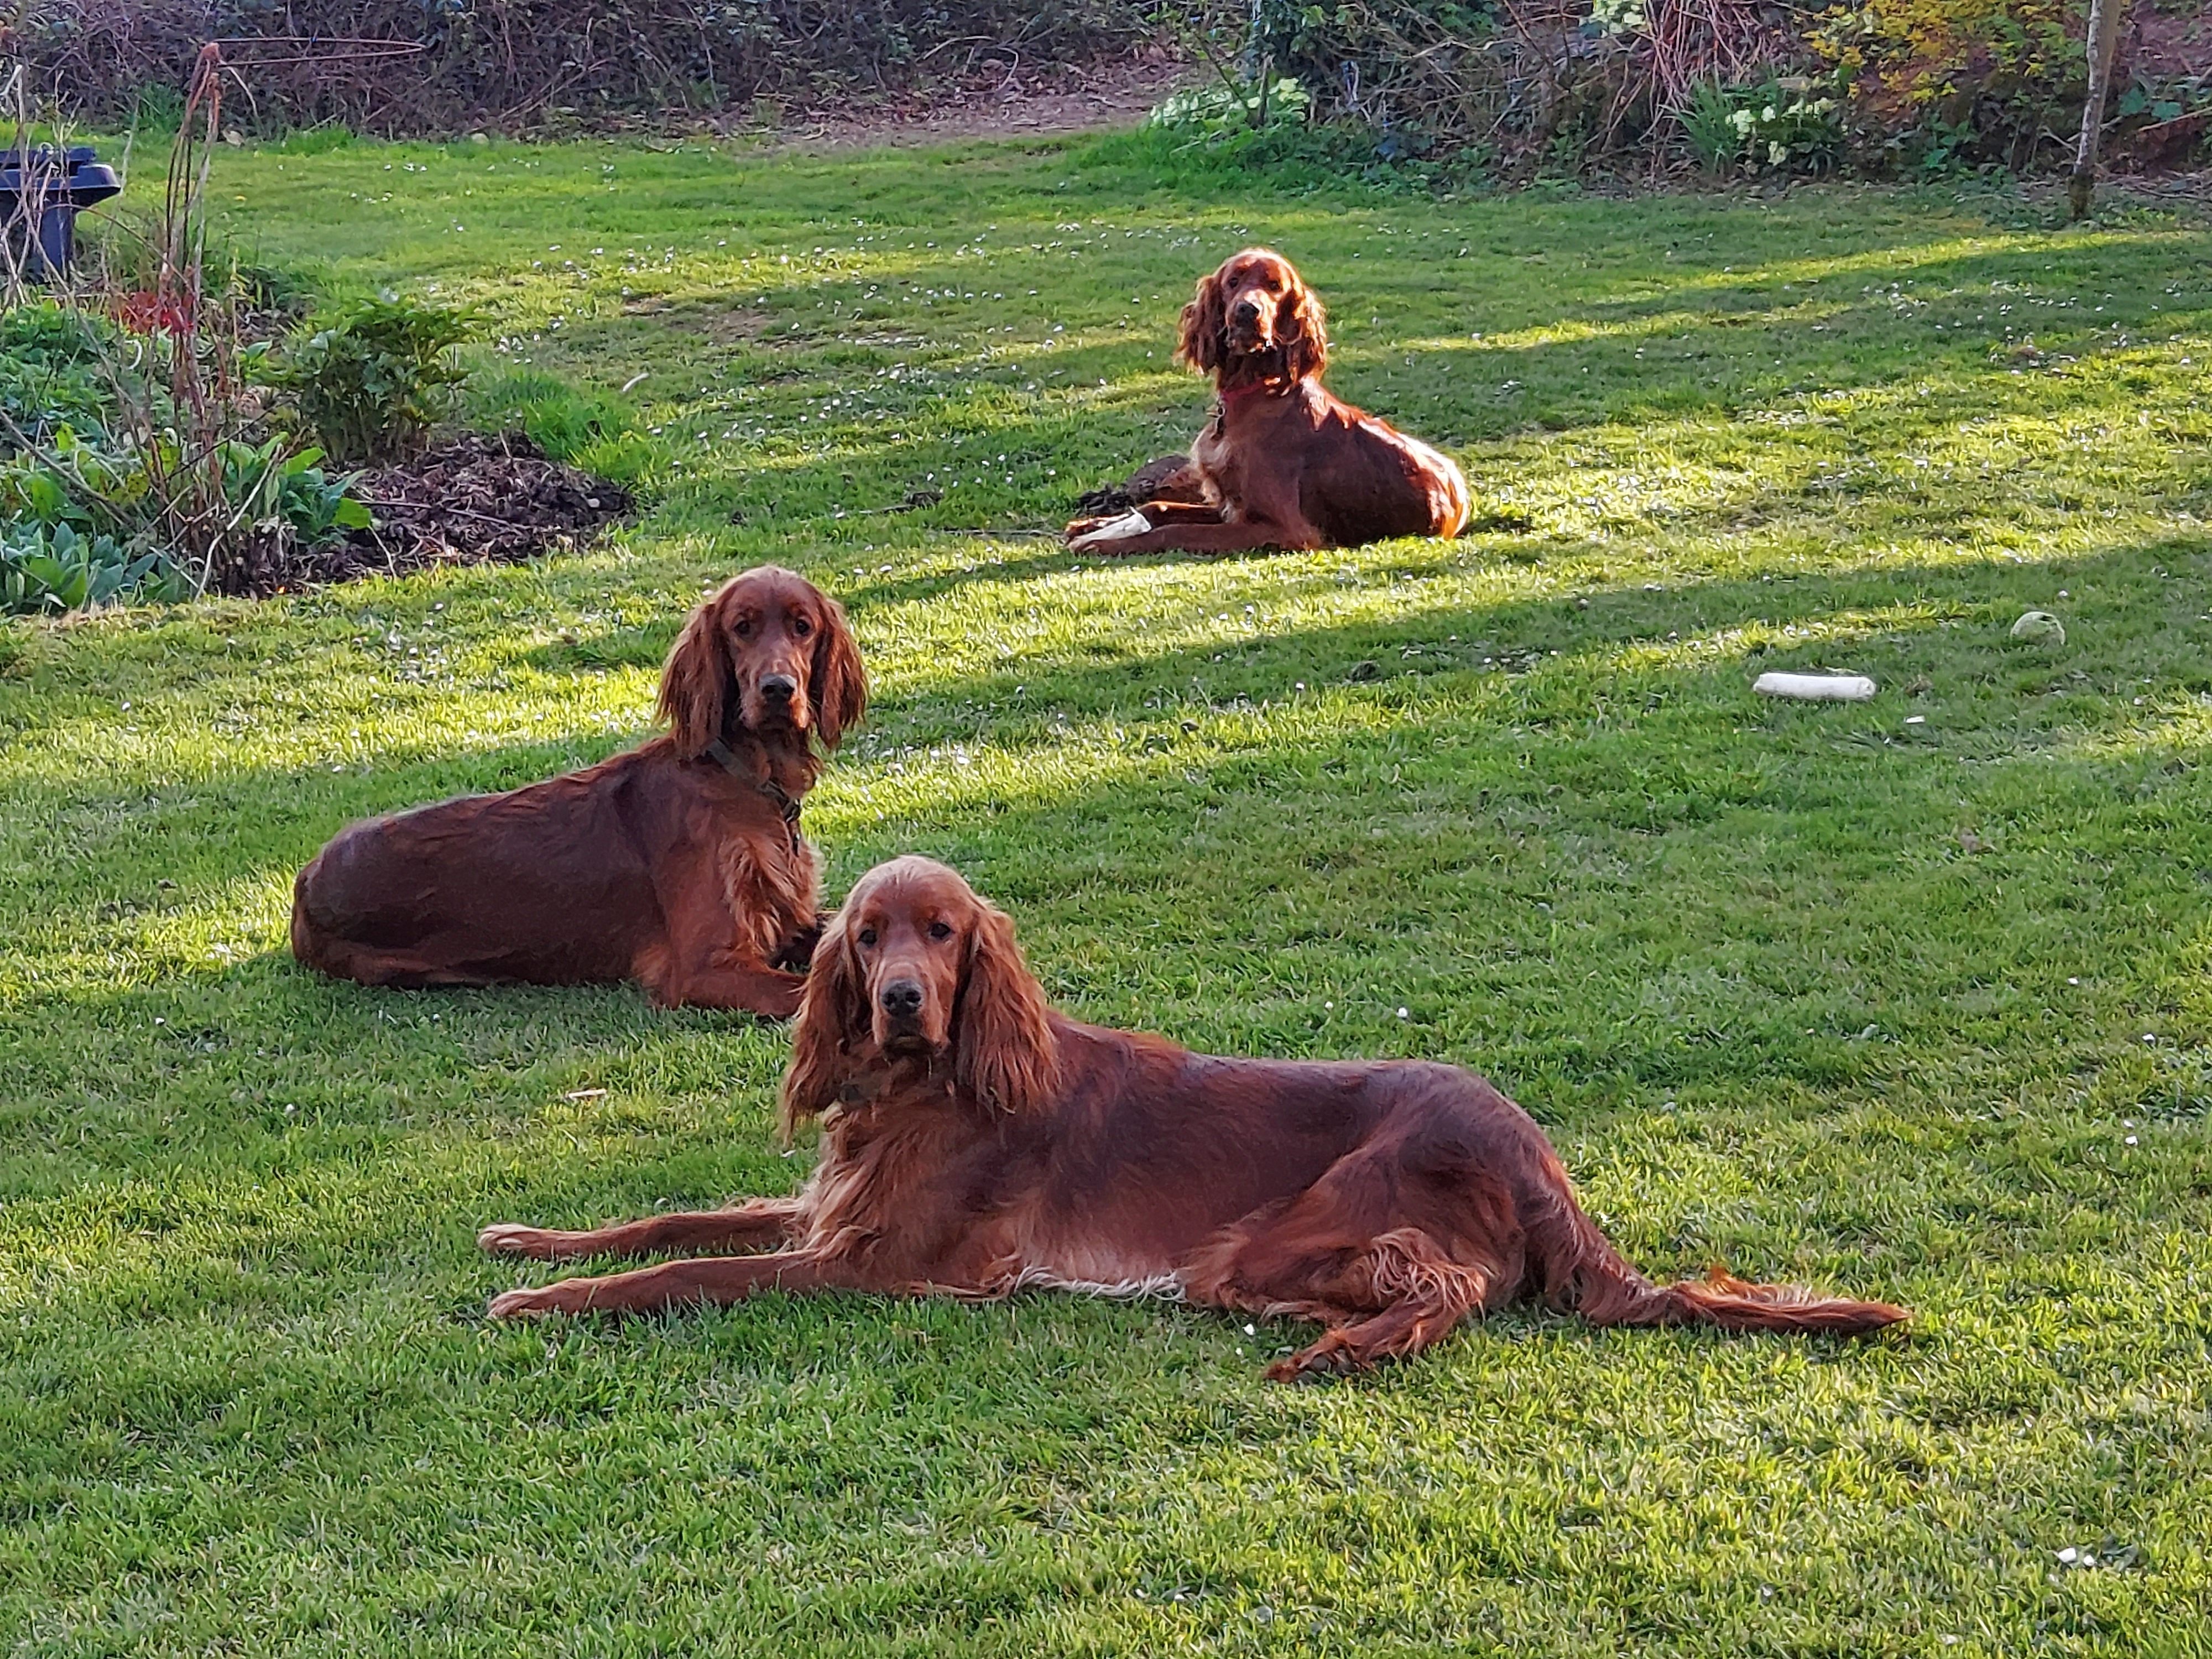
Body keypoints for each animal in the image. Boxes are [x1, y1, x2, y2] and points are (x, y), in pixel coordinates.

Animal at [285, 566, 854, 1022]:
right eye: (742, 628)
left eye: (803, 627)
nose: (778, 689)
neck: (748, 778)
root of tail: (307, 880)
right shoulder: (706, 967)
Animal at [480, 858, 1902, 1380]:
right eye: (869, 935)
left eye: (942, 934)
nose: (897, 1000)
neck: (928, 1085)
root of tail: (1533, 1147)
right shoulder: (830, 1210)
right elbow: (673, 1216)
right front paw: (527, 1243)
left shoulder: (875, 1264)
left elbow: (683, 1270)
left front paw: (544, 1302)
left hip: (1266, 1241)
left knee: (1449, 1287)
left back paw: (1332, 1352)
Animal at [1066, 247, 1469, 560]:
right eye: (1233, 282)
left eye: (1275, 287)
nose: (1248, 311)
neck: (1253, 393)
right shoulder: (1230, 506)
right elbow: (1158, 507)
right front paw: (1097, 526)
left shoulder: (1289, 530)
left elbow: (1178, 530)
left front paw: (1105, 544)